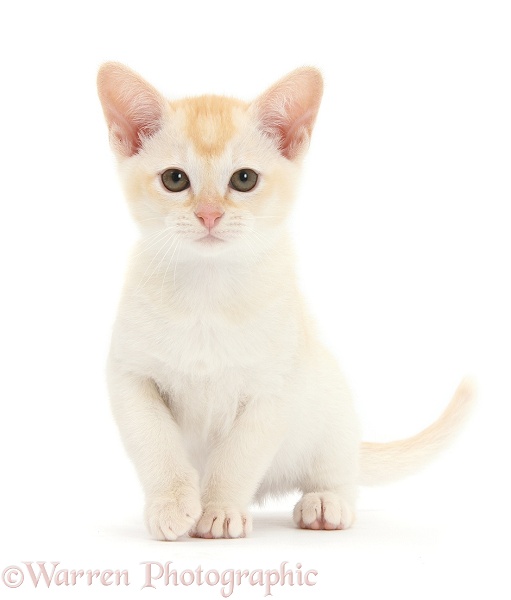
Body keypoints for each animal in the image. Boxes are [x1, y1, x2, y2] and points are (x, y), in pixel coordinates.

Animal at [97, 63, 476, 540]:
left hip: (332, 406)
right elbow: (156, 444)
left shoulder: (276, 389)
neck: (208, 293)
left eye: (244, 179)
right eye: (174, 179)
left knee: (342, 474)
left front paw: (219, 509)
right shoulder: (131, 377)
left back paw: (326, 503)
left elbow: (237, 458)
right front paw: (171, 503)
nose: (209, 214)